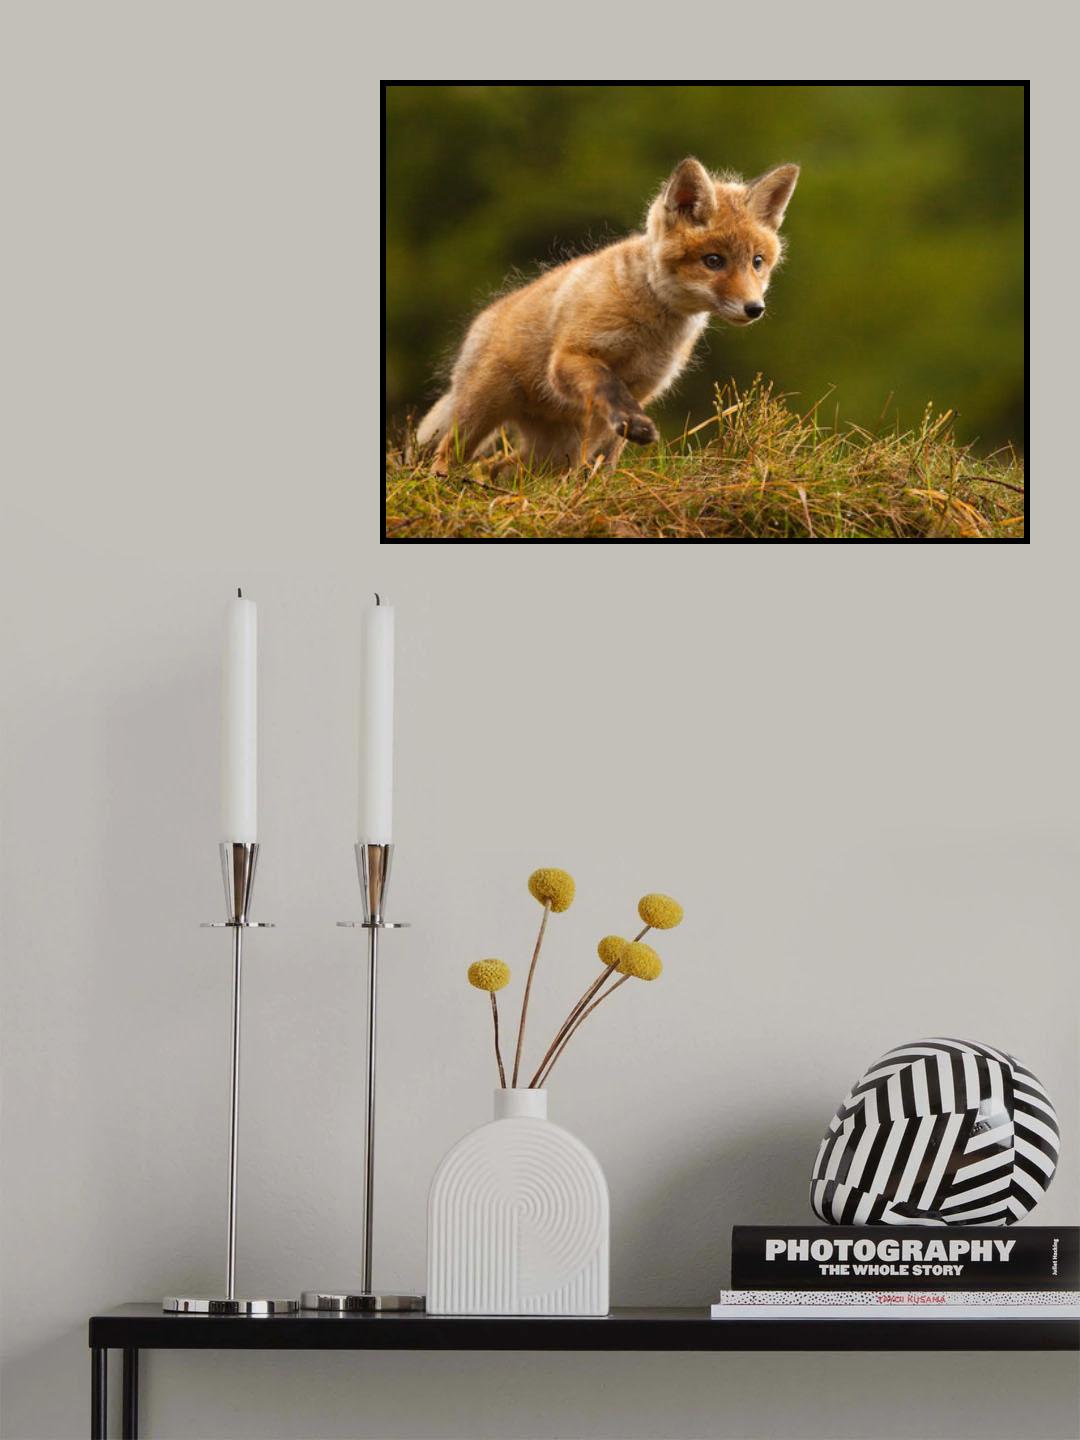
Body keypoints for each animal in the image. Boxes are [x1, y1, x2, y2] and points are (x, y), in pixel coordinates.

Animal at [417, 156, 799, 476]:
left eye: (757, 262)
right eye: (714, 261)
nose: (754, 308)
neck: (651, 330)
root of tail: (481, 323)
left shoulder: (644, 387)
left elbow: (606, 455)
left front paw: (596, 485)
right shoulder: (570, 359)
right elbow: (608, 385)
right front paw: (634, 426)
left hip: (553, 452)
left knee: (502, 467)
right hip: (482, 410)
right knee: (447, 454)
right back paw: (443, 483)